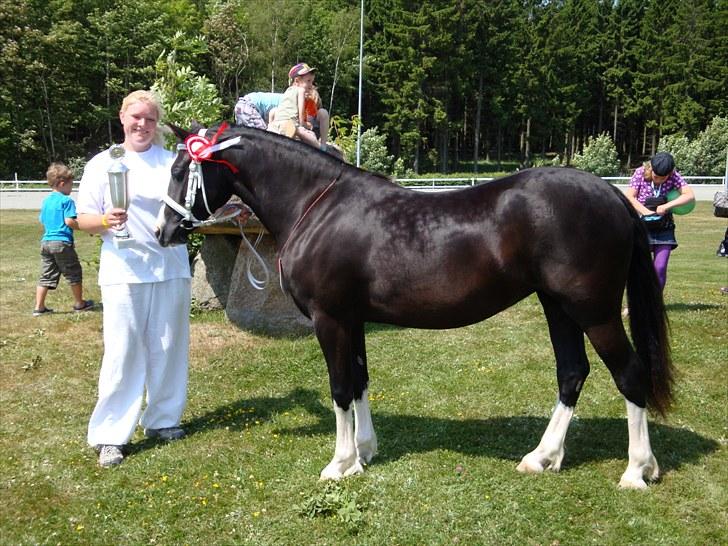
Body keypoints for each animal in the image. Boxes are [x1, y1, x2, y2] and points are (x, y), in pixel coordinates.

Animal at [157, 123, 673, 489]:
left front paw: (339, 462)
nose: (164, 231)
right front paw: (364, 453)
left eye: (182, 171)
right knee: (572, 373)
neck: (317, 206)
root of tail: (611, 195)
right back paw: (542, 457)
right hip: (558, 306)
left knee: (629, 374)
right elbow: (360, 381)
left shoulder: (330, 319)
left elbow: (340, 388)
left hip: (594, 311)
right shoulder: (352, 320)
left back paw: (637, 470)